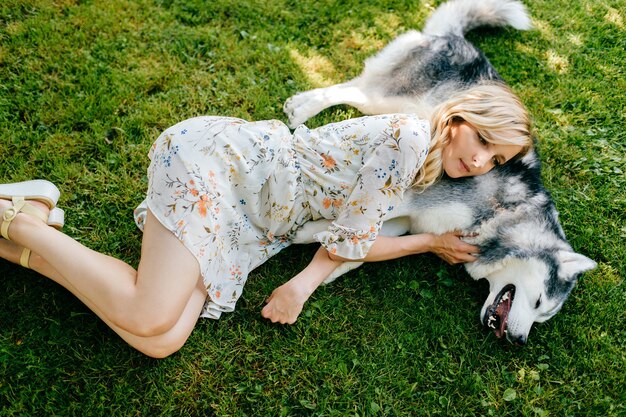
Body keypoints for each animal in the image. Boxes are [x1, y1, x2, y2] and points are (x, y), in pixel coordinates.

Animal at [284, 0, 596, 342]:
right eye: (539, 302)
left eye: (542, 318)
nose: (518, 340)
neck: (503, 215)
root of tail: (457, 39)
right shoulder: (413, 195)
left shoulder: (412, 220)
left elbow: (364, 244)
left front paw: (323, 250)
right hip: (393, 97)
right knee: (353, 90)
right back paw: (302, 107)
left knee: (354, 87)